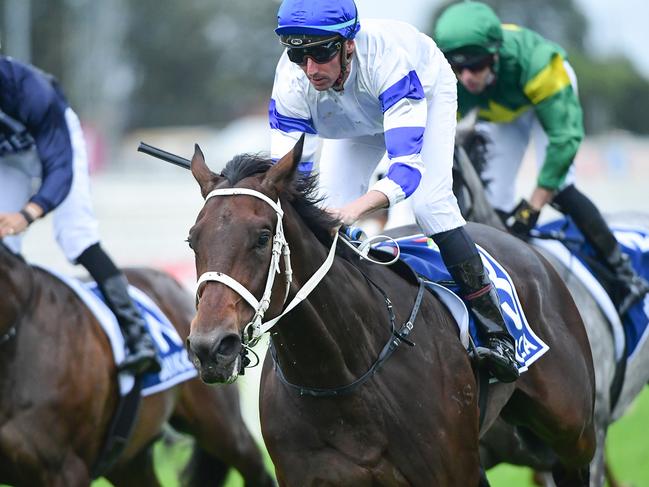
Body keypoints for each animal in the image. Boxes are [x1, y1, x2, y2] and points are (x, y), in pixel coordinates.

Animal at [185, 138, 596, 487]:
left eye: (262, 237)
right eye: (192, 240)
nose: (211, 347)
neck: (339, 373)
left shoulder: (452, 472)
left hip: (574, 434)